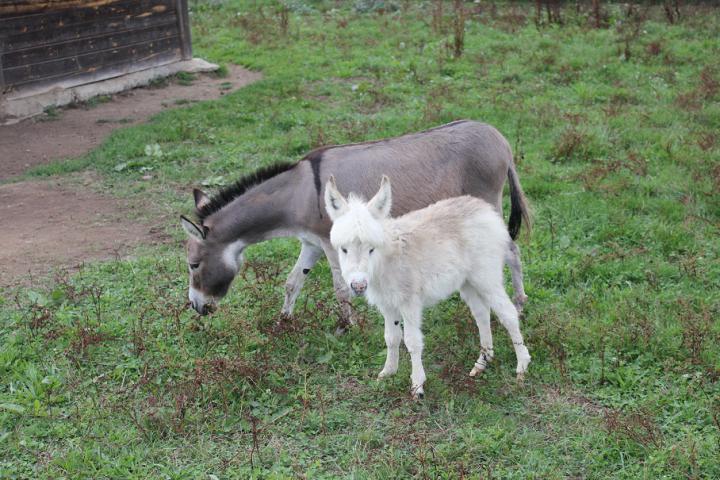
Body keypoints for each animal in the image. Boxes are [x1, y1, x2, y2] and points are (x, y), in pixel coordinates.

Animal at [324, 175, 528, 398]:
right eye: (344, 249)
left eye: (371, 249)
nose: (358, 286)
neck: (385, 262)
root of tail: (484, 208)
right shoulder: (387, 305)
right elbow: (391, 337)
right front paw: (388, 372)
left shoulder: (409, 302)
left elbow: (412, 341)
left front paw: (417, 386)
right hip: (467, 282)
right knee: (482, 314)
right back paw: (482, 362)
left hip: (486, 277)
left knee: (508, 314)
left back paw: (522, 367)